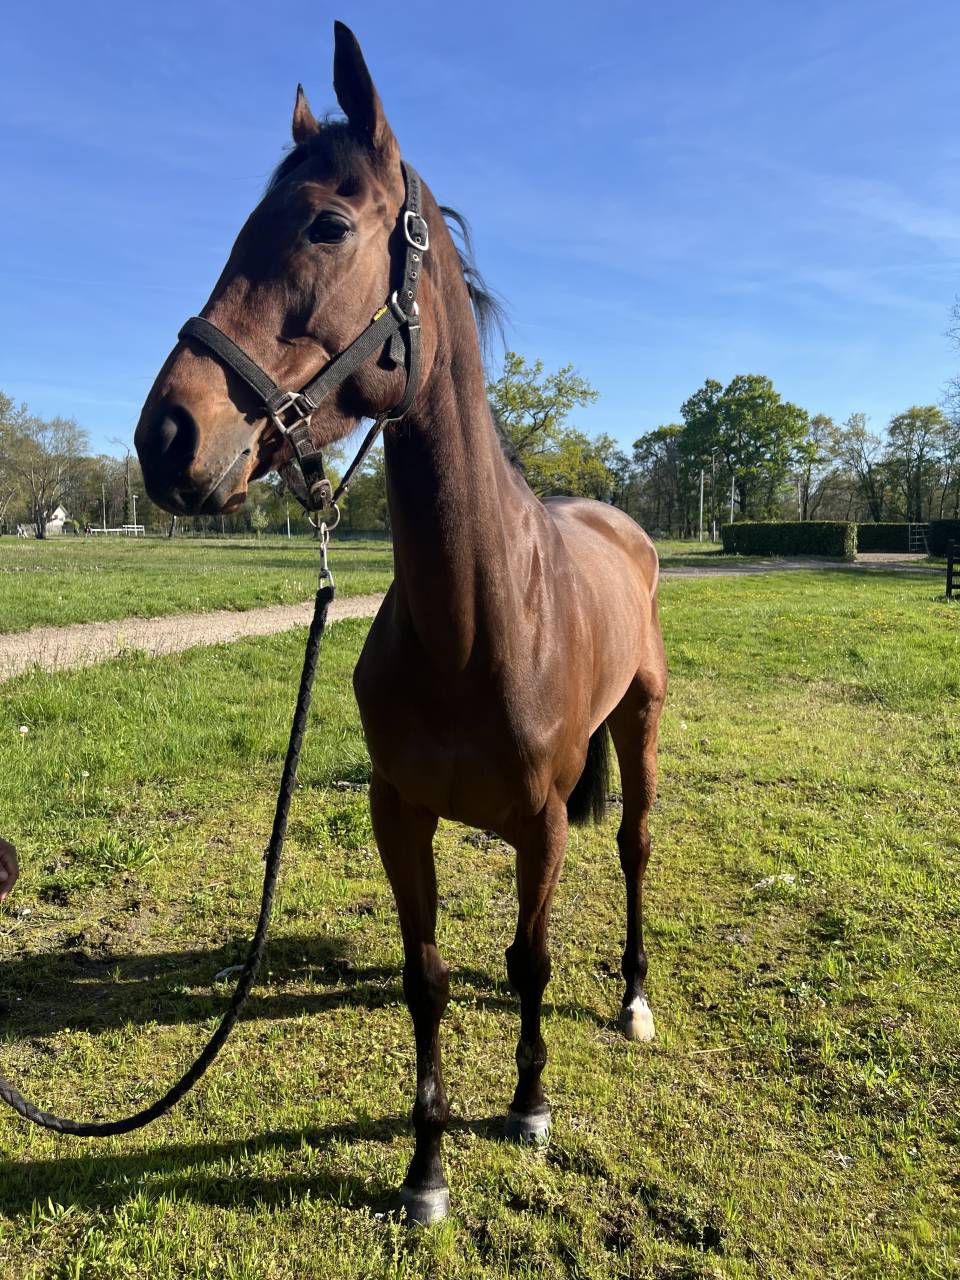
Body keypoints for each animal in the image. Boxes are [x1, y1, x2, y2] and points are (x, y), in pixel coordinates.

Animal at [134, 21, 667, 1225]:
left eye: (327, 225)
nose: (167, 435)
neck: (476, 621)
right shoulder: (400, 815)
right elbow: (426, 979)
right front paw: (427, 1166)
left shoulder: (542, 823)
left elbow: (528, 961)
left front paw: (528, 1106)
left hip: (642, 728)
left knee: (634, 847)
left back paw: (633, 997)